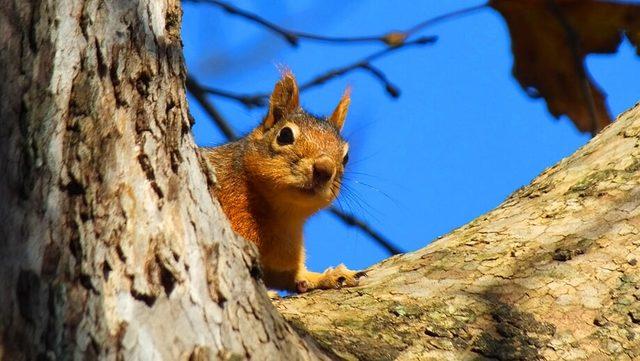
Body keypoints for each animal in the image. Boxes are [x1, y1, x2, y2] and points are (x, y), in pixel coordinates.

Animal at [205, 72, 364, 292]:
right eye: (285, 135)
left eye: (346, 157)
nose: (324, 169)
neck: (280, 212)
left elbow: (291, 275)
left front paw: (328, 276)